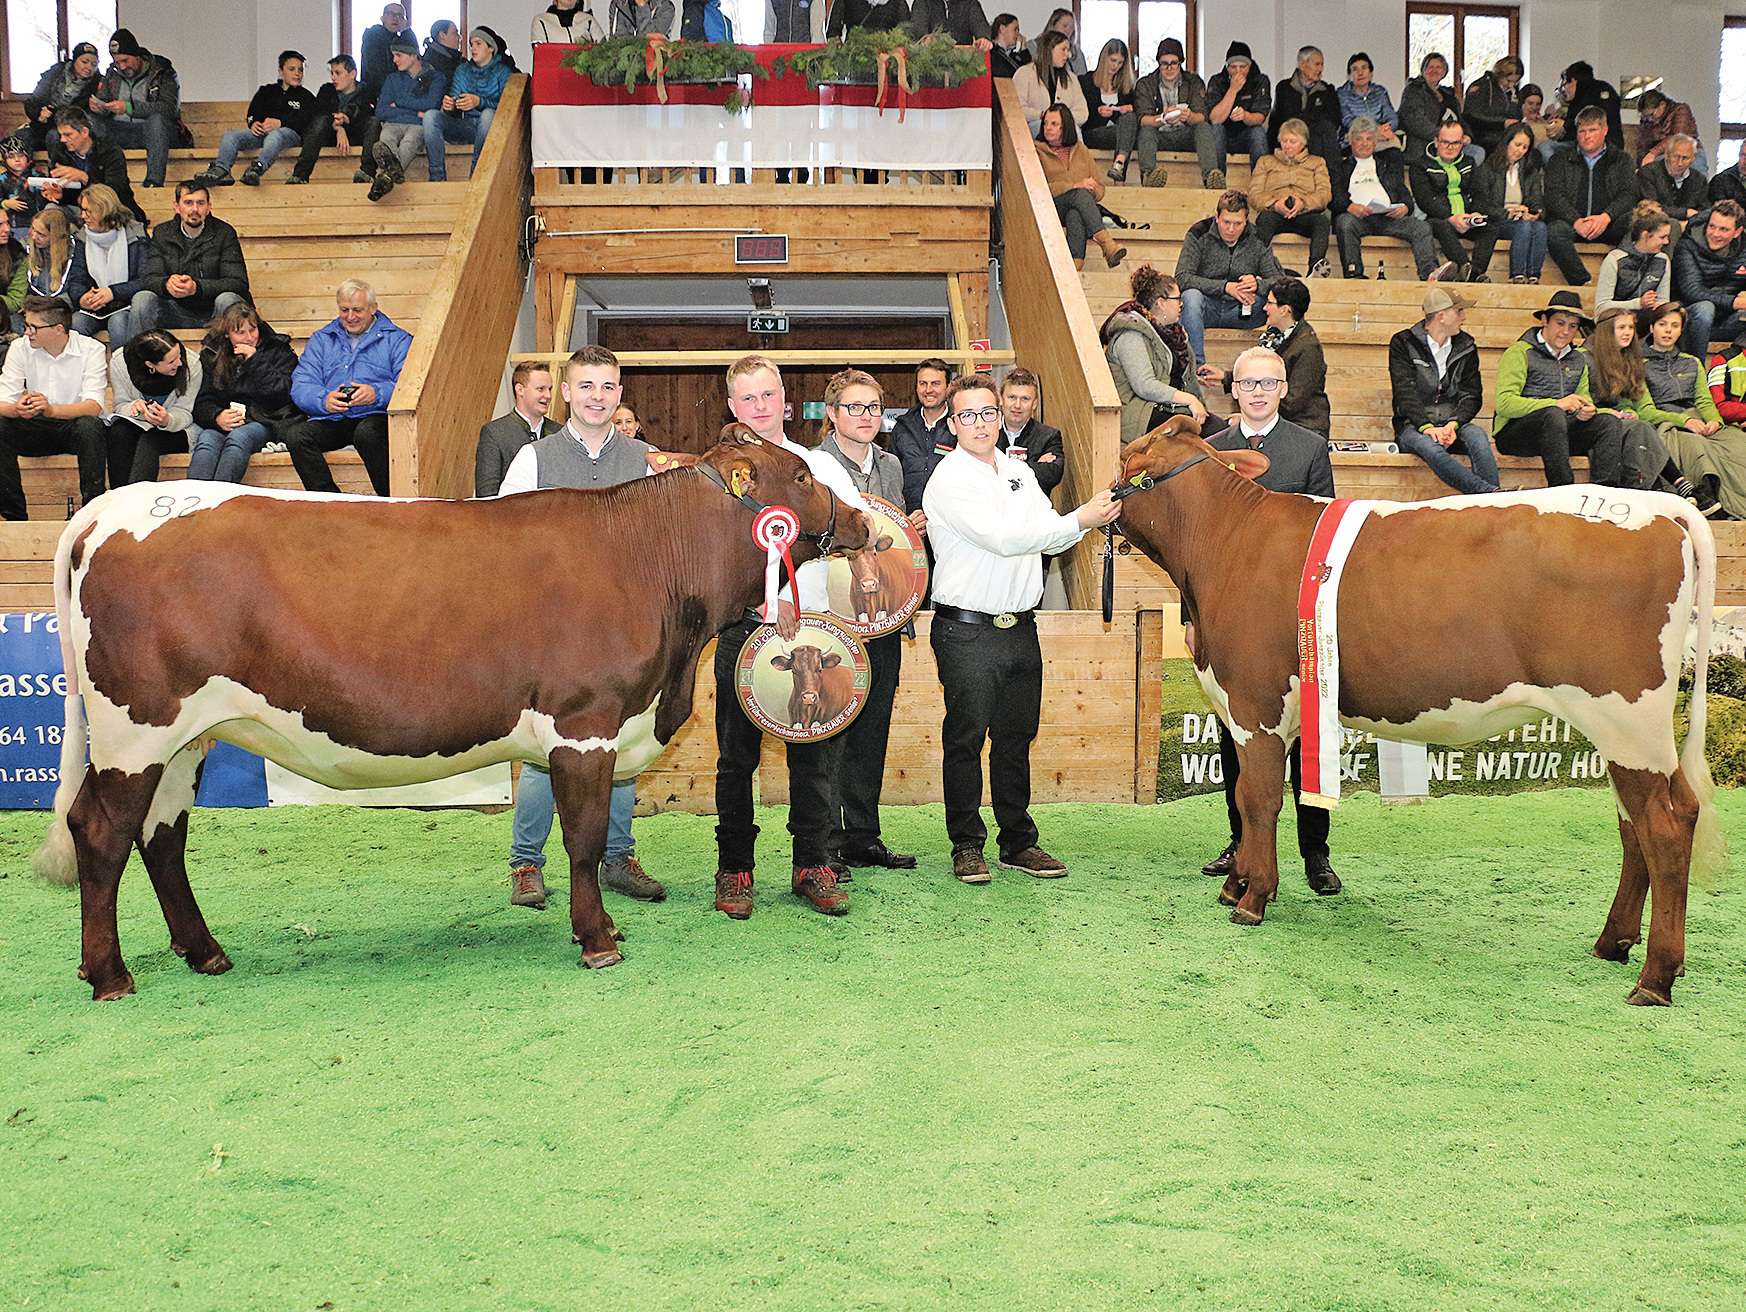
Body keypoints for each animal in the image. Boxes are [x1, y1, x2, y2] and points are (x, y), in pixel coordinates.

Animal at [30, 436, 869, 999]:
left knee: (162, 836)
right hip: (135, 727)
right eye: (800, 474)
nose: (862, 520)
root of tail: (108, 506)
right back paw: (109, 974)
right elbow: (584, 839)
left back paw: (204, 951)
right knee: (102, 833)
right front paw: (598, 939)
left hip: (185, 739)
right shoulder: (584, 723)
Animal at [1110, 417, 1725, 1006]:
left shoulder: (1255, 705)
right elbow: (1244, 799)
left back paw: (1655, 977)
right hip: (1625, 731)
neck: (1228, 540)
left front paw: (1252, 897)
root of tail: (1660, 507)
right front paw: (1234, 885)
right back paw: (1613, 942)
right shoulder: (1244, 709)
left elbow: (1257, 801)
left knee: (1664, 826)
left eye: (1126, 458)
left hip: (1627, 717)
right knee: (1642, 822)